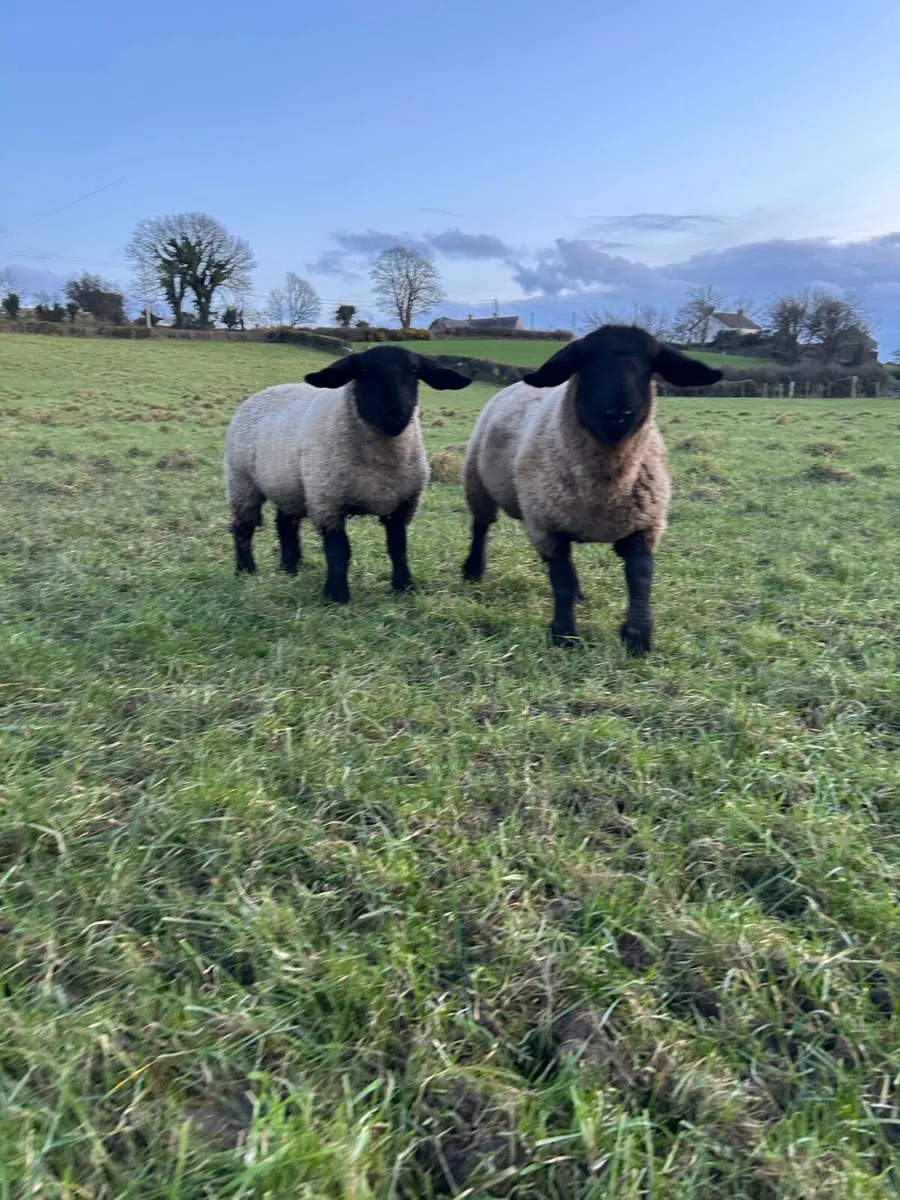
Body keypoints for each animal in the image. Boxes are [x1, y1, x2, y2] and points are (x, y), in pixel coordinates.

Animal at [225, 345, 472, 603]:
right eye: (363, 372)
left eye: (414, 371)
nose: (395, 415)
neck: (380, 464)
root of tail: (266, 390)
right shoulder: (328, 502)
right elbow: (339, 551)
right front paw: (337, 594)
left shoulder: (402, 504)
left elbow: (398, 547)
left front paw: (405, 586)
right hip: (242, 481)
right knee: (243, 527)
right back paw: (245, 570)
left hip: (291, 487)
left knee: (285, 523)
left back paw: (289, 567)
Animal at [460, 325, 722, 651]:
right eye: (585, 361)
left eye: (650, 364)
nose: (618, 412)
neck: (607, 488)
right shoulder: (549, 525)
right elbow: (561, 578)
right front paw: (564, 634)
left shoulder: (644, 524)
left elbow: (640, 575)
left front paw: (638, 636)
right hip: (478, 482)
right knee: (481, 526)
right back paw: (473, 569)